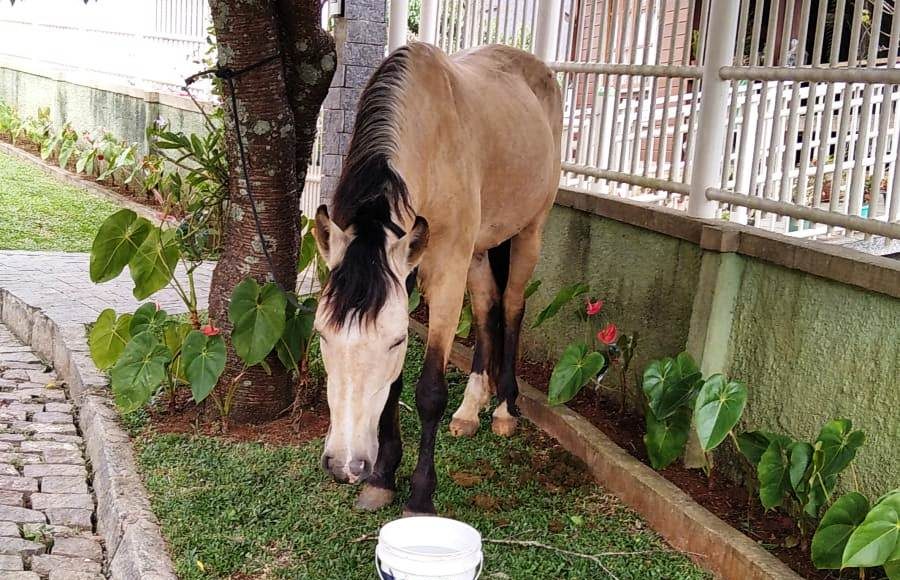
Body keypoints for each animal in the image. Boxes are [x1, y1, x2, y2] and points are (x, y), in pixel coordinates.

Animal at [312, 40, 560, 516]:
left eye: (394, 342)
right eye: (321, 335)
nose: (347, 465)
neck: (429, 140)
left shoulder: (445, 269)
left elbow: (428, 391)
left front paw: (420, 495)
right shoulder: (404, 269)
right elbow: (394, 386)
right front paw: (383, 478)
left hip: (530, 232)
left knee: (512, 306)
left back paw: (504, 409)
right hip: (478, 250)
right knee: (486, 306)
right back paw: (470, 408)